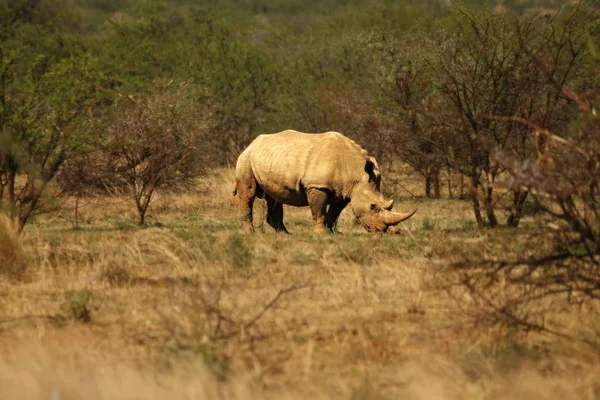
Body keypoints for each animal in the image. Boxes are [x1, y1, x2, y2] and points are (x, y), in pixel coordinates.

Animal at [232, 130, 414, 233]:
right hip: (246, 159)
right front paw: (320, 234)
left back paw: (284, 234)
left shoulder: (344, 191)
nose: (381, 230)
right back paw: (250, 233)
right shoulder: (318, 186)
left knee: (274, 197)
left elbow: (334, 212)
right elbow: (318, 210)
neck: (355, 170)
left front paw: (331, 233)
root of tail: (251, 144)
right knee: (248, 194)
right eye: (373, 206)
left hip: (271, 159)